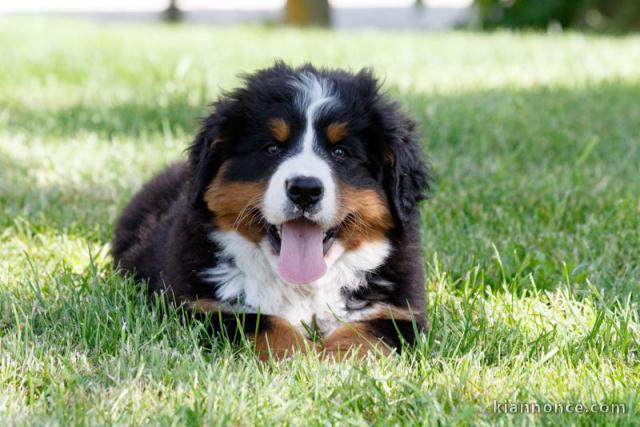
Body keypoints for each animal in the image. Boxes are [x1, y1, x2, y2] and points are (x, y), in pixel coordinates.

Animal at [111, 61, 430, 362]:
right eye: (272, 148)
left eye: (341, 152)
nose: (304, 189)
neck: (303, 286)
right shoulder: (204, 306)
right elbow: (265, 324)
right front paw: (297, 359)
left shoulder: (395, 311)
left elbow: (364, 334)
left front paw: (337, 363)